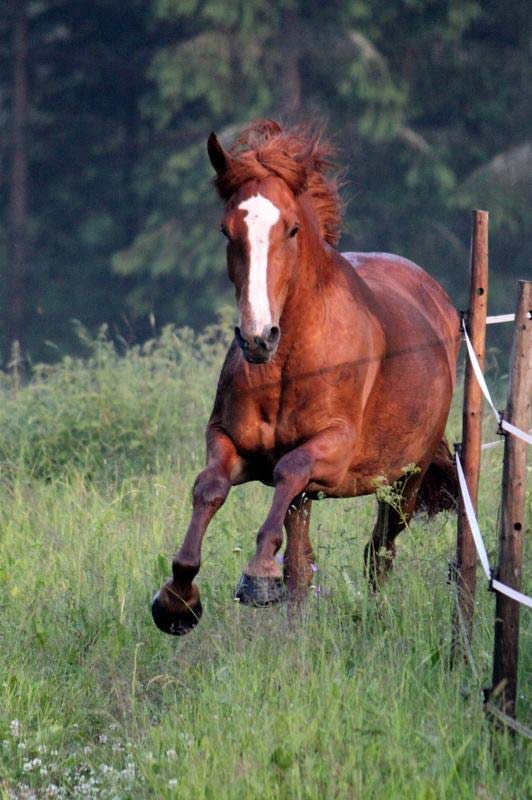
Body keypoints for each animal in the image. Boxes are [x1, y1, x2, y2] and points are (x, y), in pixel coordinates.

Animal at [152, 119, 460, 636]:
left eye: (292, 229)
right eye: (226, 230)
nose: (258, 337)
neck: (288, 367)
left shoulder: (332, 452)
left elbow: (289, 468)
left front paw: (258, 576)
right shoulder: (231, 443)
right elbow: (210, 487)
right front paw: (177, 599)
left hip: (403, 482)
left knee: (378, 552)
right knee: (302, 557)